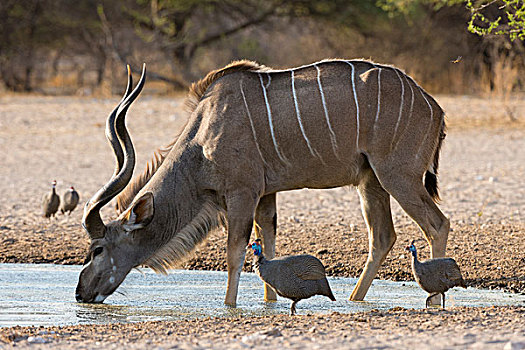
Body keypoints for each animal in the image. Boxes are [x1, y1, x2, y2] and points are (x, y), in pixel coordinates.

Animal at [75, 58, 448, 304]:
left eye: (97, 249)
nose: (81, 293)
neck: (203, 134)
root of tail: (434, 107)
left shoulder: (243, 192)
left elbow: (235, 251)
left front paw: (230, 307)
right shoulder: (266, 196)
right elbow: (266, 243)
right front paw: (270, 303)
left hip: (397, 176)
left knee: (437, 224)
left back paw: (439, 300)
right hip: (371, 181)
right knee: (383, 236)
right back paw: (355, 299)